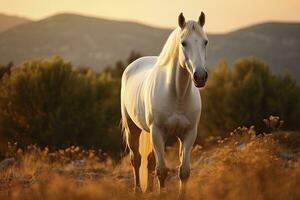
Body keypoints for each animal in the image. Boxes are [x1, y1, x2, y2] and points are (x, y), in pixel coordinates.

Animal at [119, 12, 209, 197]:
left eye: (205, 42)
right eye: (183, 43)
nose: (200, 76)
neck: (177, 94)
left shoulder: (189, 134)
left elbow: (184, 172)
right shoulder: (158, 132)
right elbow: (162, 171)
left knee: (149, 161)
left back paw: (149, 190)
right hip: (134, 129)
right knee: (136, 159)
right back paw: (137, 190)